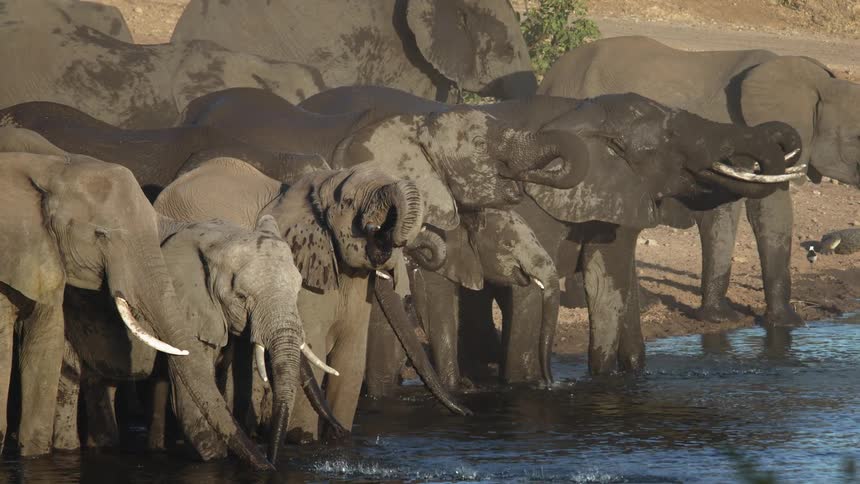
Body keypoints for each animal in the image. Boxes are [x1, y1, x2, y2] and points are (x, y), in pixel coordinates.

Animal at [53, 216, 342, 462]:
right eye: (242, 298)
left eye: (297, 291)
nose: (341, 432)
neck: (218, 236)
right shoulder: (185, 307)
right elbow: (191, 400)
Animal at [154, 159, 472, 443]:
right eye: (349, 201)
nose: (467, 413)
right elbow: (315, 350)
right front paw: (303, 441)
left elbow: (350, 360)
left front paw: (337, 440)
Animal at [297, 86, 805, 378]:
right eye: (673, 141)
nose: (781, 140)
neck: (585, 114)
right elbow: (575, 287)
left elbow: (618, 280)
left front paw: (629, 377)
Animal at [538, 35, 860, 326]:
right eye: (857, 137)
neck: (816, 82)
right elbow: (725, 207)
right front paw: (720, 319)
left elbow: (771, 212)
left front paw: (786, 324)